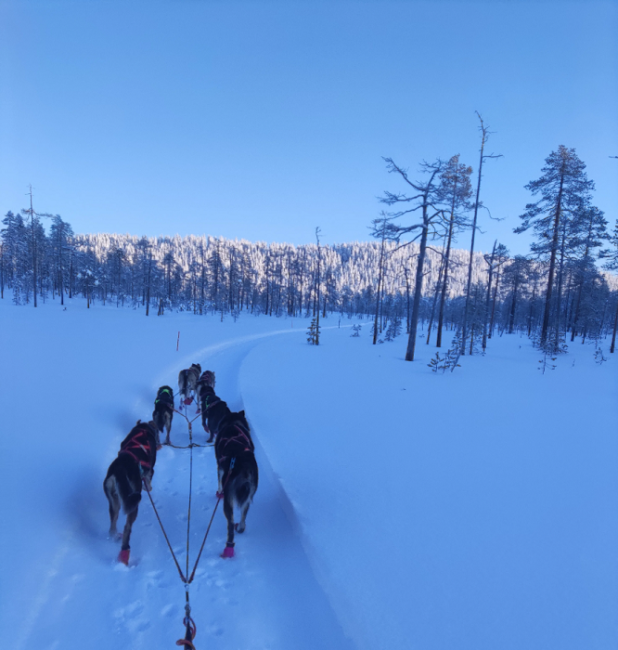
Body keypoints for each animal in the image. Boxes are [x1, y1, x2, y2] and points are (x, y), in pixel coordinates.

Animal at [103, 420, 158, 560]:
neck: (143, 429)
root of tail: (119, 469)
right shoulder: (150, 470)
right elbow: (148, 480)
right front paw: (148, 488)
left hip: (114, 501)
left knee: (112, 525)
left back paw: (115, 536)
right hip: (134, 502)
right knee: (127, 527)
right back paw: (125, 549)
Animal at [202, 380, 258, 556]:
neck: (233, 424)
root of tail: (243, 466)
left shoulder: (220, 469)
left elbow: (219, 481)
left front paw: (217, 492)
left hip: (228, 501)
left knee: (231, 525)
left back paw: (228, 548)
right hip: (249, 495)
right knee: (243, 518)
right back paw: (241, 528)